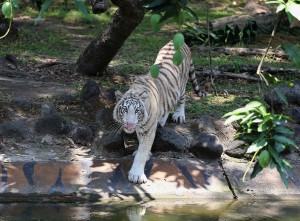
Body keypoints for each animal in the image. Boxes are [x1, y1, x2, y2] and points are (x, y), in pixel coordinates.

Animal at [112, 40, 206, 184]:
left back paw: (179, 115)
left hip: (181, 86)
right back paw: (161, 120)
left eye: (137, 111)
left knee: (182, 99)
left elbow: (142, 151)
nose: (129, 125)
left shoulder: (148, 130)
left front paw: (136, 175)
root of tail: (180, 41)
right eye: (125, 109)